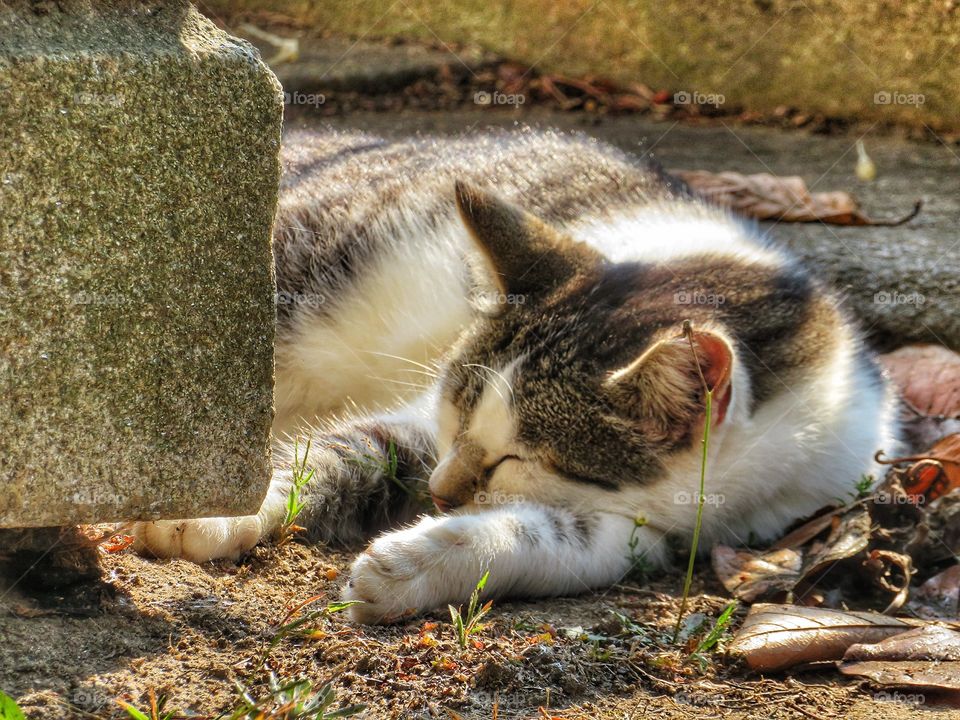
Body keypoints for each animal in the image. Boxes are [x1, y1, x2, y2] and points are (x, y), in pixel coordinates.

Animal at [129, 128, 900, 624]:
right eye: (454, 412)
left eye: (515, 459)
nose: (441, 492)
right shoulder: (419, 424)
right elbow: (349, 447)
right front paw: (216, 505)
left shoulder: (679, 528)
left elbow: (569, 540)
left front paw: (422, 562)